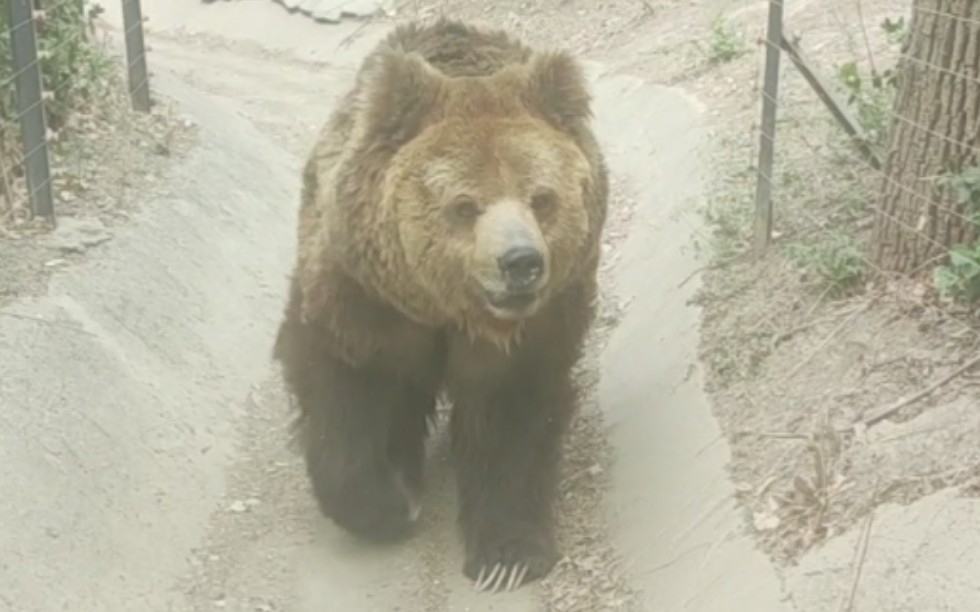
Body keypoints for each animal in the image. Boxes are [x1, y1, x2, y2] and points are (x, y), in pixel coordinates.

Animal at [272, 17, 608, 592]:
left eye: (542, 198)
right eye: (464, 205)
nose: (520, 262)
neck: (451, 308)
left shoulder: (533, 328)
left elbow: (510, 418)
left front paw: (507, 556)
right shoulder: (364, 297)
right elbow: (344, 391)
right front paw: (391, 505)